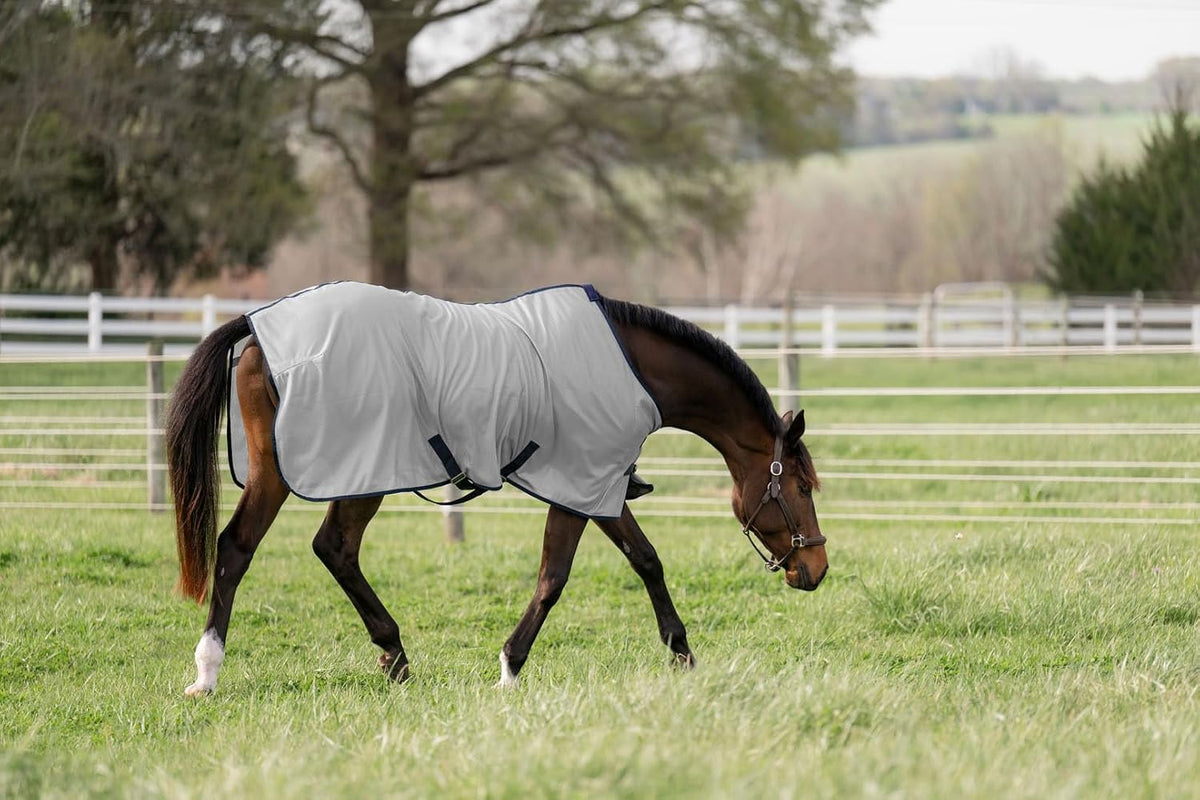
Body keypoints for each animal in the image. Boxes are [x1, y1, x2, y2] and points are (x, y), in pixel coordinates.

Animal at [166, 283, 825, 696]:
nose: (816, 569)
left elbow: (645, 561)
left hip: (337, 473)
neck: (630, 365)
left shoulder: (599, 486)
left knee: (319, 550)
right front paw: (510, 667)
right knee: (256, 549)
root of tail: (257, 328)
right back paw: (211, 670)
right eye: (798, 484)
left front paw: (682, 655)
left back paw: (390, 657)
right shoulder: (581, 483)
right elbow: (556, 579)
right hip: (330, 472)